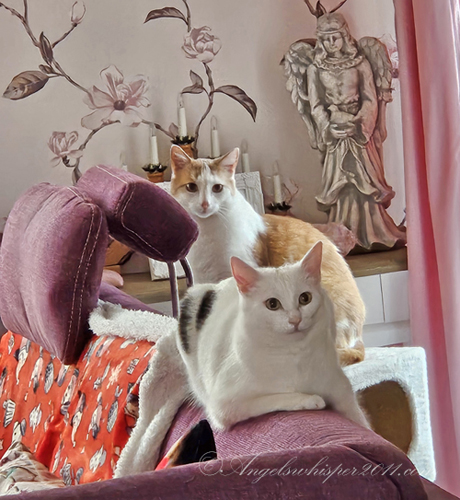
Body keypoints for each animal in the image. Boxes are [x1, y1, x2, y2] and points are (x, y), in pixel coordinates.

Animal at [177, 241, 368, 431]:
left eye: (305, 298)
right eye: (272, 304)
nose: (295, 319)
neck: (294, 354)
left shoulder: (341, 388)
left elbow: (361, 421)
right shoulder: (223, 406)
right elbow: (276, 397)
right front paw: (310, 399)